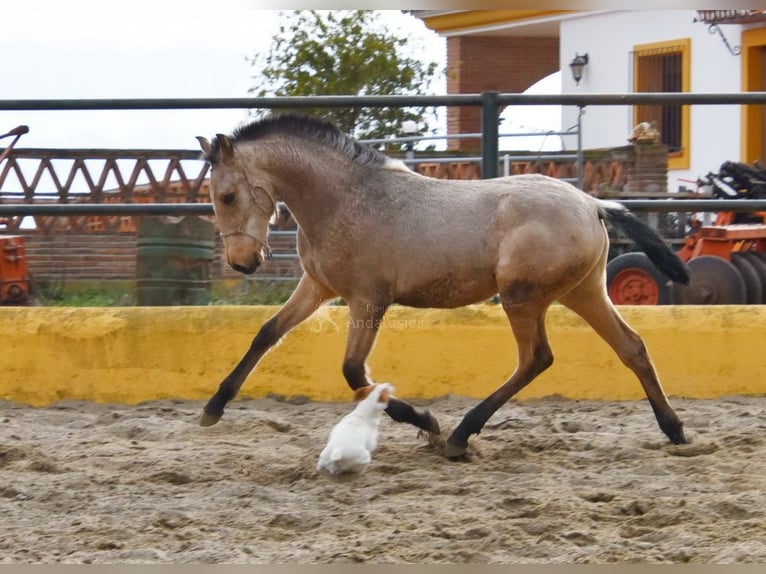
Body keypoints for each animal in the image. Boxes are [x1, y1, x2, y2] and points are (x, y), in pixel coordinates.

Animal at [195, 115, 692, 462]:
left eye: (227, 196)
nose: (243, 263)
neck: (344, 200)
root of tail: (592, 203)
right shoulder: (317, 286)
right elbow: (267, 333)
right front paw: (214, 406)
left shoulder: (368, 299)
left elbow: (355, 372)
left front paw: (427, 422)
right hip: (583, 291)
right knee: (631, 346)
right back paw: (675, 430)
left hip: (522, 295)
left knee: (536, 358)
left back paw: (458, 435)